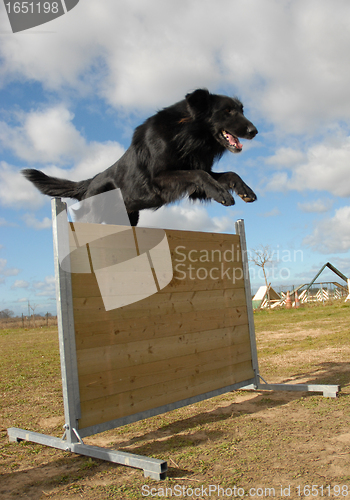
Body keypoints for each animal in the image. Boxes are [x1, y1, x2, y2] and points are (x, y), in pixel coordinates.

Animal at [22, 89, 258, 226]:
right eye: (227, 111)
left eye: (241, 110)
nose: (254, 131)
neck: (186, 135)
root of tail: (89, 183)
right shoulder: (159, 178)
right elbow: (199, 174)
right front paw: (222, 194)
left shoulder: (197, 185)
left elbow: (227, 174)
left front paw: (244, 190)